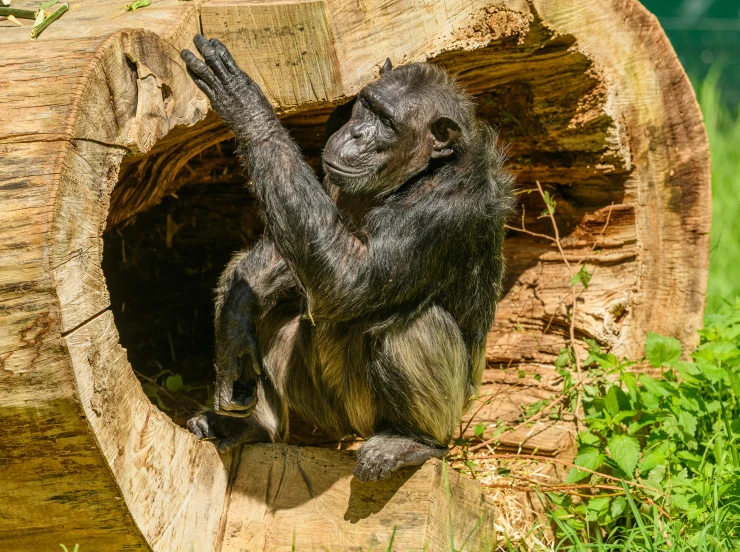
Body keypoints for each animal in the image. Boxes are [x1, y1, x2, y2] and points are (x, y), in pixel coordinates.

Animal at [182, 35, 512, 484]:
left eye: (387, 123)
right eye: (367, 105)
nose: (356, 134)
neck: (417, 174)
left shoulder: (449, 206)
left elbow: (350, 278)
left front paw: (245, 103)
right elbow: (297, 250)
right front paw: (234, 327)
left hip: (393, 419)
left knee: (412, 326)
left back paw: (412, 441)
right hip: (320, 410)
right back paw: (252, 424)